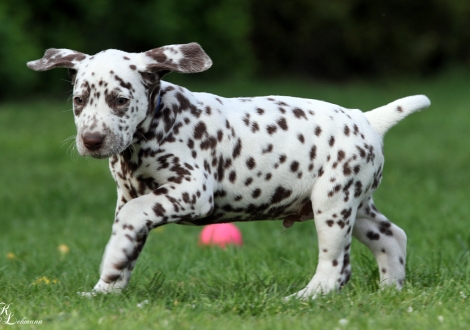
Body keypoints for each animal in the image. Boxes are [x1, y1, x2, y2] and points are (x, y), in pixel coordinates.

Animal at [25, 42, 430, 298]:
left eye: (120, 100)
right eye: (79, 100)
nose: (92, 140)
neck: (154, 127)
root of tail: (365, 119)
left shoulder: (189, 190)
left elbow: (132, 218)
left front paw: (110, 264)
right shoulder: (127, 197)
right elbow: (127, 237)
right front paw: (105, 289)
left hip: (332, 203)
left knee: (336, 268)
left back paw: (307, 297)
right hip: (355, 207)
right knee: (392, 237)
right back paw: (390, 292)